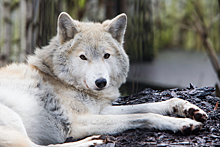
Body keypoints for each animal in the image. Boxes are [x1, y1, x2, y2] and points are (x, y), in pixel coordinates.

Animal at [0, 12, 208, 146]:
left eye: (106, 55)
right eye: (83, 57)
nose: (101, 82)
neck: (62, 80)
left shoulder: (99, 110)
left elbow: (148, 106)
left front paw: (187, 108)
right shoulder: (79, 121)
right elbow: (145, 115)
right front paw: (182, 123)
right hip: (13, 119)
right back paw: (90, 142)